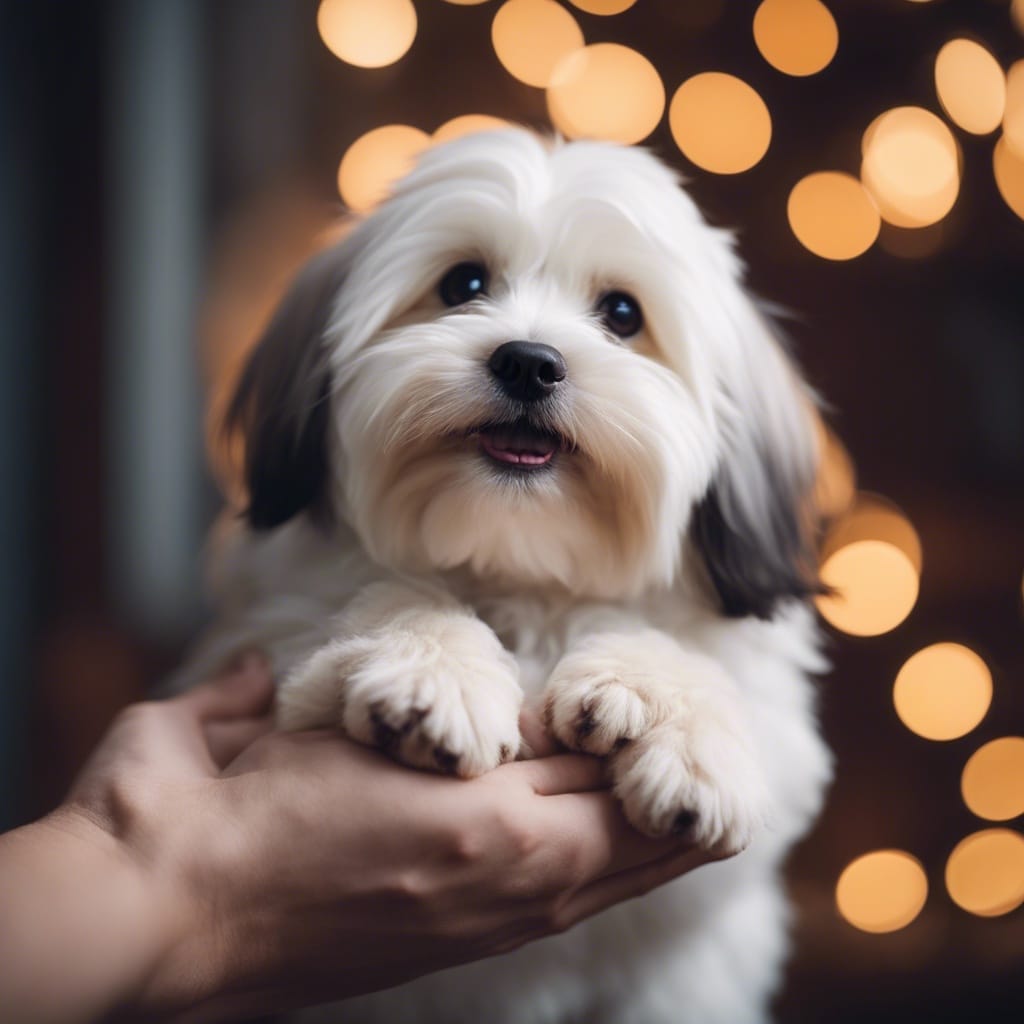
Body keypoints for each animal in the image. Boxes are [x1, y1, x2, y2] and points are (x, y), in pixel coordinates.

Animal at [188, 130, 835, 1024]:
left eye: (623, 314)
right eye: (463, 284)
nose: (529, 363)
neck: (519, 567)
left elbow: (686, 657)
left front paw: (671, 721)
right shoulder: (270, 672)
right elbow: (393, 599)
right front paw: (438, 679)